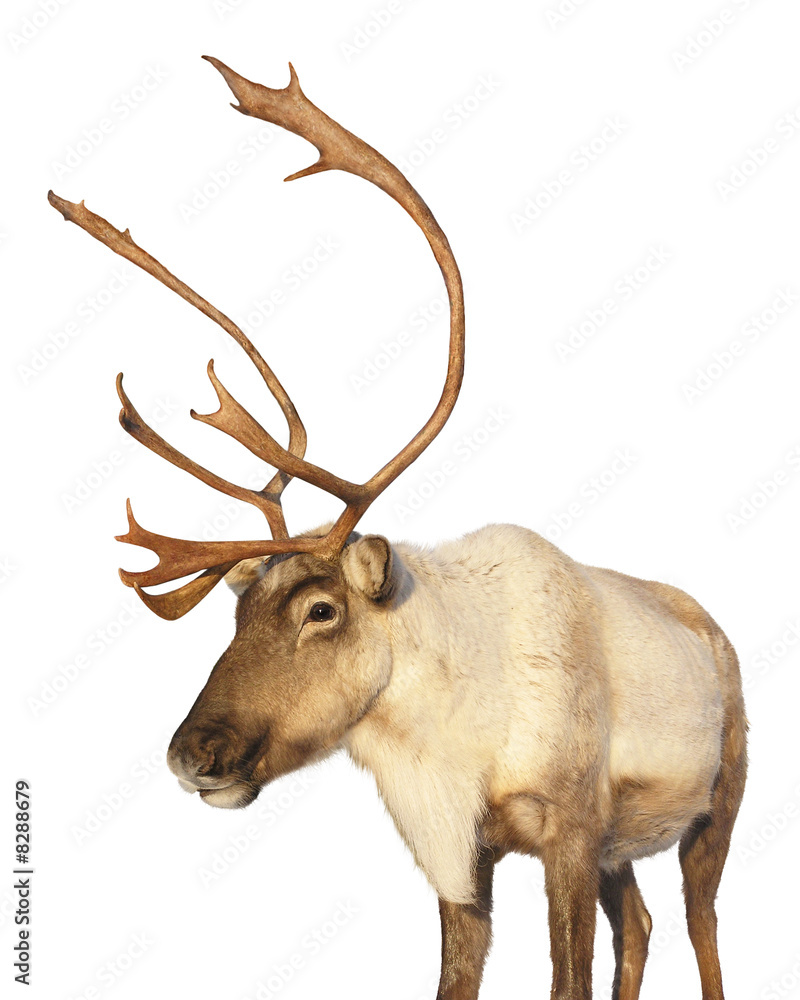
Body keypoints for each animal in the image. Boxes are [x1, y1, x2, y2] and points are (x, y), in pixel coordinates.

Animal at [49, 57, 747, 1000]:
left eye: (321, 610)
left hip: (716, 800)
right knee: (637, 923)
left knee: (701, 923)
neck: (449, 732)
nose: (194, 753)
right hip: (624, 847)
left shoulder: (569, 827)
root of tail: (713, 628)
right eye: (235, 613)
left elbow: (568, 976)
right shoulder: (459, 852)